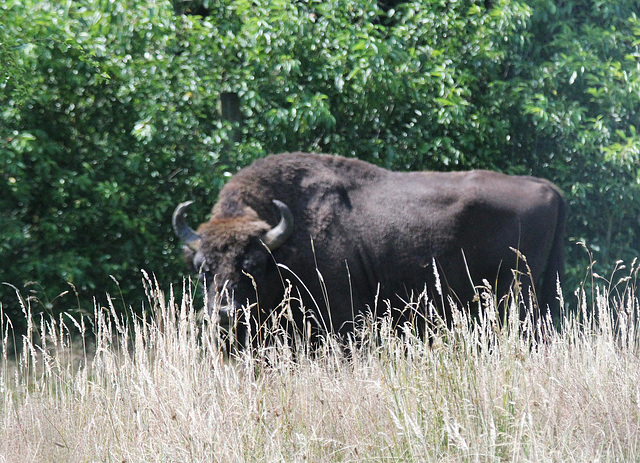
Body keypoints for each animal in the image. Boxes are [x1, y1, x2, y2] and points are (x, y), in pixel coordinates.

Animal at [171, 152, 564, 344]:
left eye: (252, 264)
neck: (286, 245)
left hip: (517, 296)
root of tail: (546, 186)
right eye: (203, 269)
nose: (225, 313)